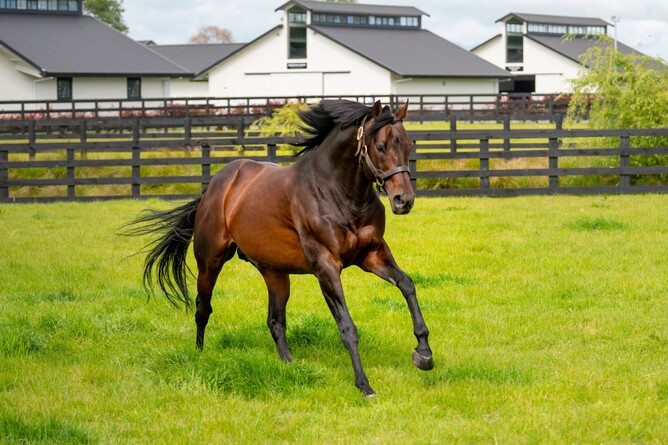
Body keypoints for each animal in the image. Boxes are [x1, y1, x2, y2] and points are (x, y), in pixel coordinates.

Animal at [123, 99, 434, 396]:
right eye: (380, 146)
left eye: (408, 145)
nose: (403, 200)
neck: (338, 193)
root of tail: (214, 186)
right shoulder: (326, 267)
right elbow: (346, 326)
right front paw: (364, 385)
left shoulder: (373, 255)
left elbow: (407, 285)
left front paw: (424, 354)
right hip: (210, 261)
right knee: (203, 308)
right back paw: (200, 355)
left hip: (275, 272)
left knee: (275, 321)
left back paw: (289, 364)